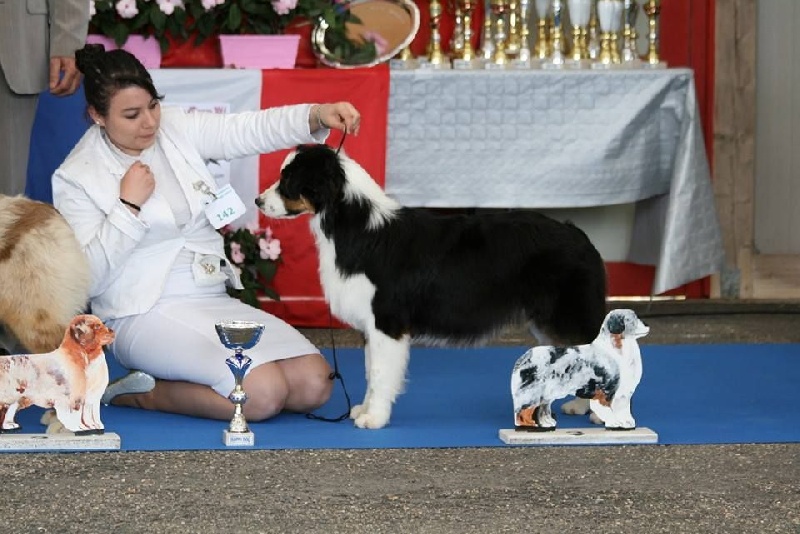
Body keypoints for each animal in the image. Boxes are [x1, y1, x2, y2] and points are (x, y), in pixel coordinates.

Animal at [256, 146, 608, 432]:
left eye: (288, 179)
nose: (258, 201)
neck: (355, 227)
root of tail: (579, 235)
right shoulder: (371, 325)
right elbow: (371, 372)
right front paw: (364, 410)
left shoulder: (387, 321)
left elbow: (380, 373)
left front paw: (375, 419)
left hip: (570, 314)